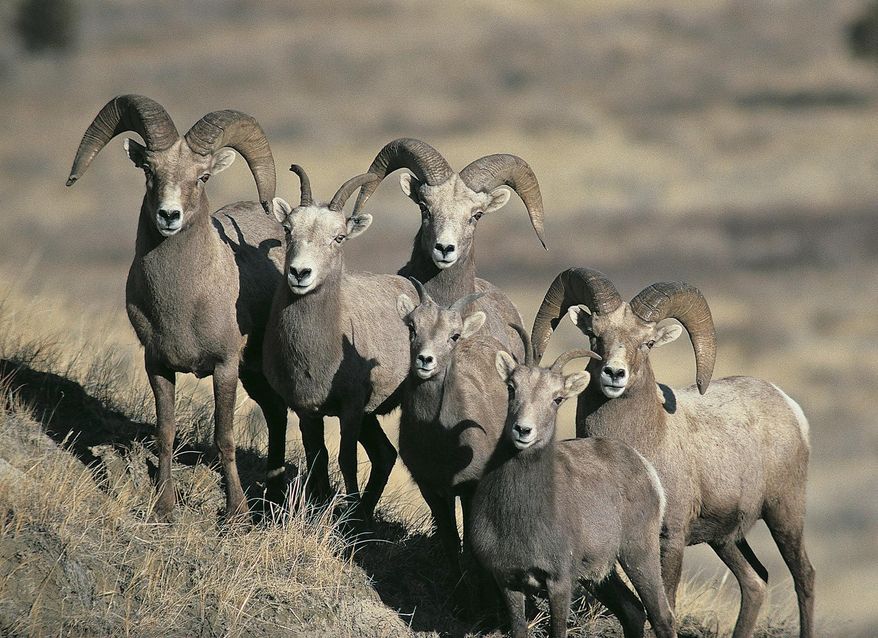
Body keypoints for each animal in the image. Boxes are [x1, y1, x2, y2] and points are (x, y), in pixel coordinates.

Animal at [66, 95, 290, 521]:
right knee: (277, 415)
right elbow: (165, 434)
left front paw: (235, 514)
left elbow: (224, 438)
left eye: (203, 177)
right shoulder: (157, 364)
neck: (183, 301)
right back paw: (273, 496)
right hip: (254, 375)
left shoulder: (224, 367)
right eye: (149, 169)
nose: (168, 216)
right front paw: (165, 507)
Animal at [262, 165, 417, 520]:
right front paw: (320, 505)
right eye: (288, 229)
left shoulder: (351, 408)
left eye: (339, 237)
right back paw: (365, 515)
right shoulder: (307, 411)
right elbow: (317, 457)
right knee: (385, 455)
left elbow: (346, 460)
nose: (300, 273)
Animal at [469, 343, 676, 638]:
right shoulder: (508, 581)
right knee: (633, 611)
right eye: (511, 387)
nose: (523, 430)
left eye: (557, 399)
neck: (520, 518)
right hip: (601, 576)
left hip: (639, 554)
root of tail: (644, 467)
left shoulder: (560, 582)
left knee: (661, 617)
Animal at [531, 268, 815, 638]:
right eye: (594, 335)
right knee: (755, 582)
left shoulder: (670, 540)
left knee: (804, 577)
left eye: (648, 343)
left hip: (785, 514)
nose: (614, 374)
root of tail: (787, 404)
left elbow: (663, 609)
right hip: (725, 540)